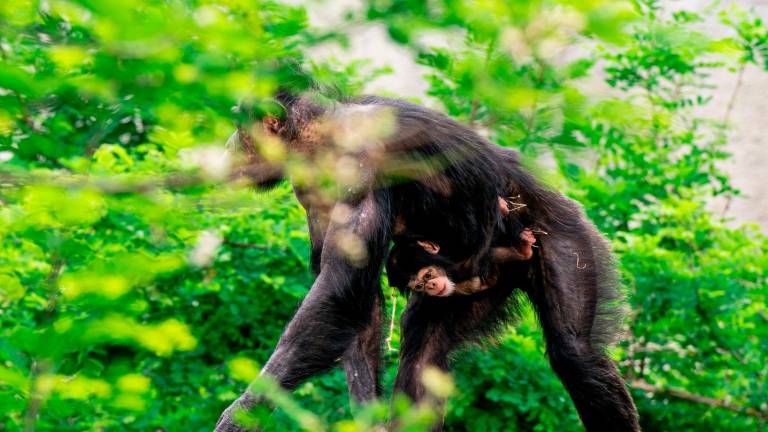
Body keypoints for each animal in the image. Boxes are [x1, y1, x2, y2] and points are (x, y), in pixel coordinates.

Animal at [213, 89, 640, 430]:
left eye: (241, 127)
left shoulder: (362, 166)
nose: (229, 142)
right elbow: (358, 300)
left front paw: (242, 415)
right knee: (425, 349)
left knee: (576, 354)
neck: (320, 143)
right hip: (468, 285)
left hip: (565, 236)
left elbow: (337, 293)